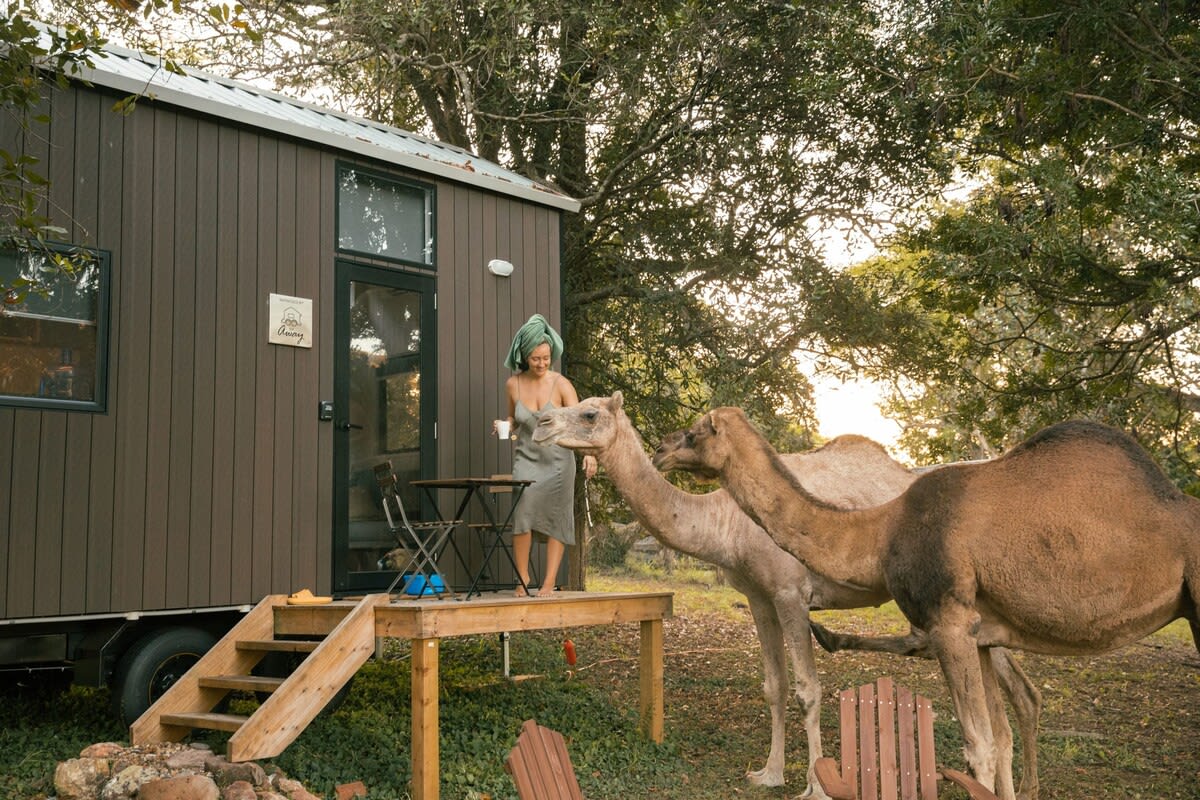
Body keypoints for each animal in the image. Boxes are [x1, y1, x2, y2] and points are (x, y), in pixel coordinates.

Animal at [532, 395, 1041, 800]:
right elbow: (774, 687)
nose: (541, 421)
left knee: (1012, 698)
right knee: (1017, 696)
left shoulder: (790, 592)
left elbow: (807, 690)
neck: (726, 525)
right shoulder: (759, 598)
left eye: (589, 413)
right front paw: (769, 773)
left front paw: (815, 786)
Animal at [662, 410, 1200, 796]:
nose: (664, 447)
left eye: (695, 432)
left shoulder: (948, 622)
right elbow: (996, 739)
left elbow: (979, 747)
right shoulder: (980, 632)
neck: (880, 529)